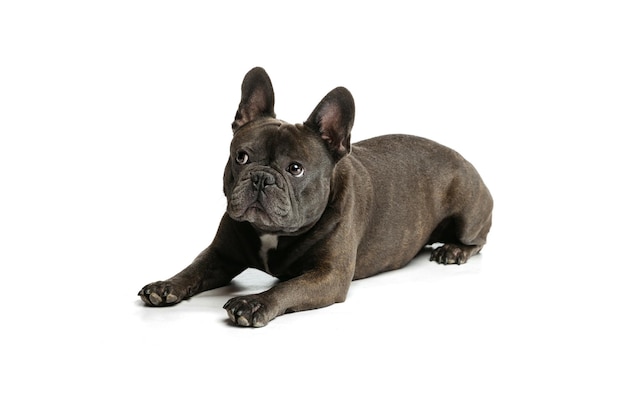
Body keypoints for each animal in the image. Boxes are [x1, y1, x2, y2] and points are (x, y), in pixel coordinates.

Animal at [138, 67, 492, 326]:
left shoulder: (328, 275)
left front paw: (255, 302)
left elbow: (288, 286)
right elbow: (194, 268)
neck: (273, 234)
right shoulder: (220, 255)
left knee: (478, 240)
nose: (261, 177)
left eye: (295, 168)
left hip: (468, 212)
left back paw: (453, 251)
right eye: (241, 157)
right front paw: (166, 285)